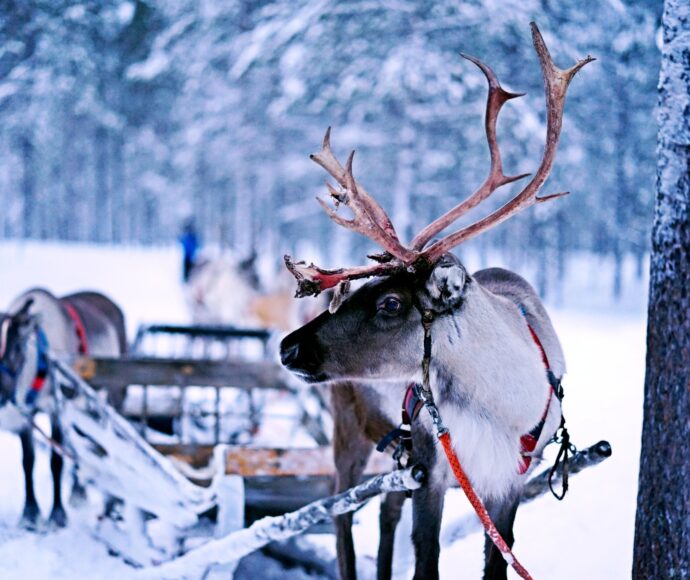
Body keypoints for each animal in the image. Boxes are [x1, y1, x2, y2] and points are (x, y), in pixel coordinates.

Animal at [279, 23, 593, 580]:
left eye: (389, 303)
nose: (287, 347)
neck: (500, 406)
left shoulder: (507, 479)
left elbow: (498, 558)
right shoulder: (433, 467)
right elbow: (427, 557)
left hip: (392, 455)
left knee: (383, 510)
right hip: (349, 434)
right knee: (340, 511)